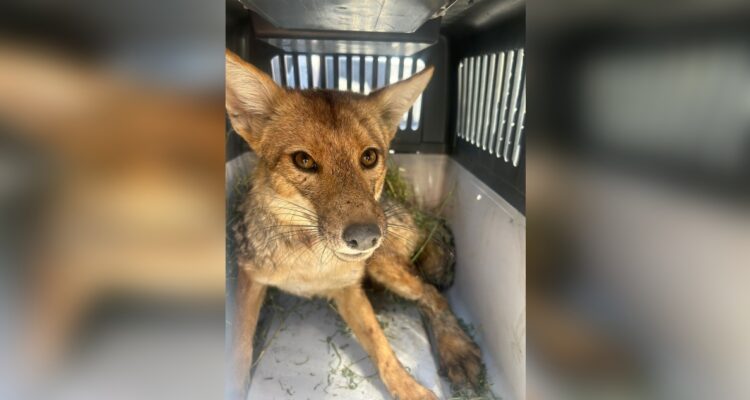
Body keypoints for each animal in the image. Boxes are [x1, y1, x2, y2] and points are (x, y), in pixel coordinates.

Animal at [225, 49, 483, 400]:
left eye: (369, 157)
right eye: (303, 160)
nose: (365, 238)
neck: (310, 264)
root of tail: (413, 210)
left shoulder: (349, 289)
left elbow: (383, 348)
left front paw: (410, 389)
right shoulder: (250, 278)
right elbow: (240, 345)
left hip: (384, 266)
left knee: (432, 294)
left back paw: (457, 350)